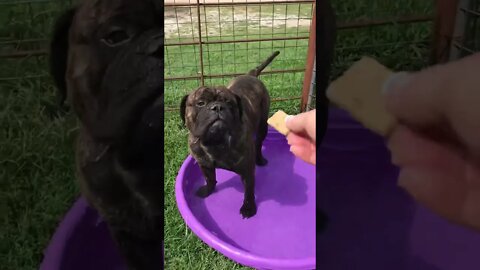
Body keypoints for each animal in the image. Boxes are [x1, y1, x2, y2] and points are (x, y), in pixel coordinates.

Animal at [179, 51, 278, 219]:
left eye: (229, 102)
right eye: (200, 103)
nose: (217, 107)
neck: (215, 142)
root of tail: (251, 74)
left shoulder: (247, 171)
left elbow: (248, 192)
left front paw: (248, 208)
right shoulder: (203, 163)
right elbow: (210, 178)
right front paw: (208, 189)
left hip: (262, 125)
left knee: (259, 143)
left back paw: (260, 159)